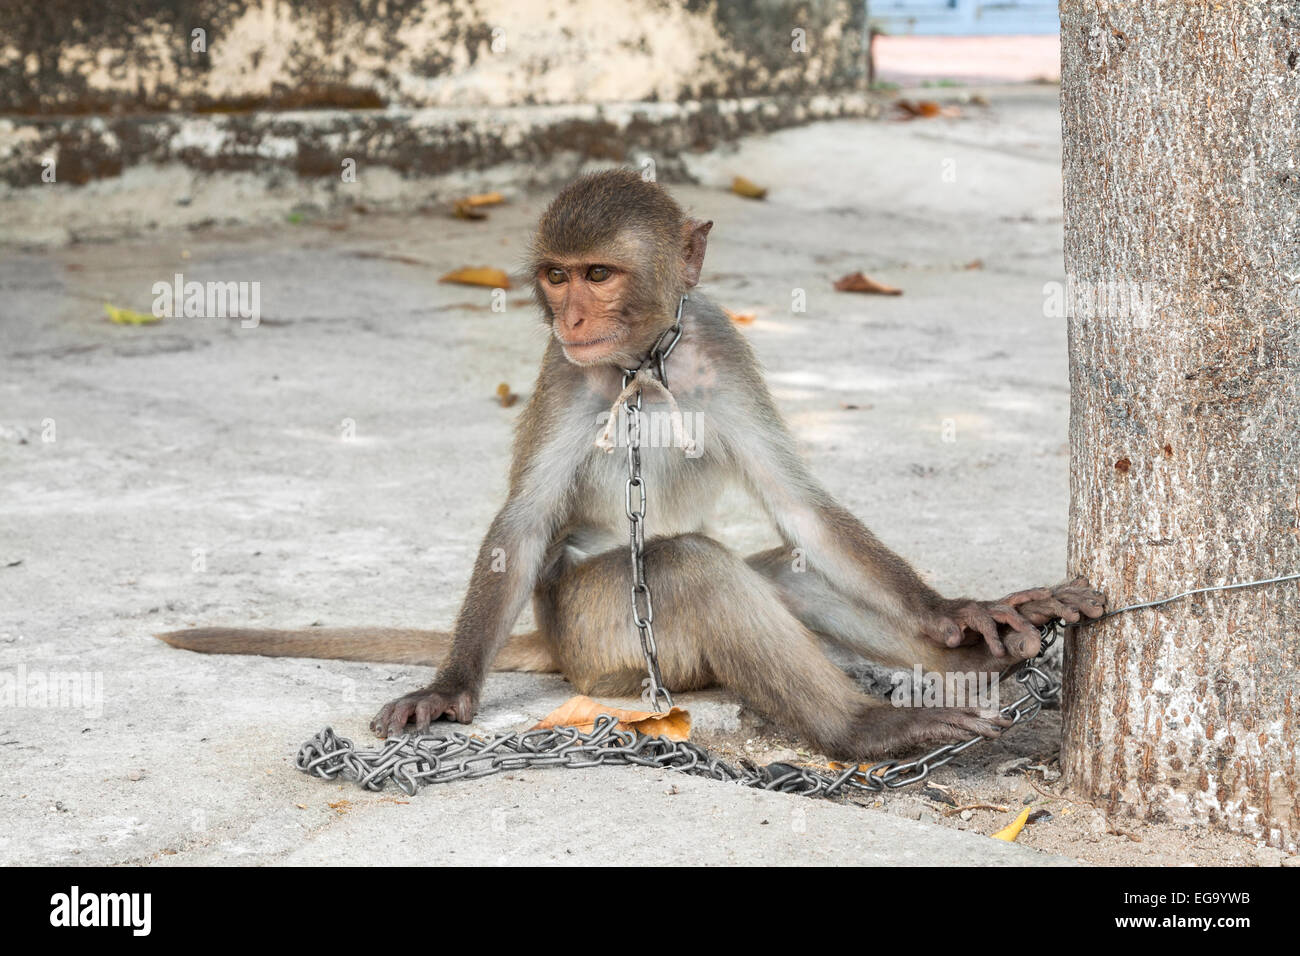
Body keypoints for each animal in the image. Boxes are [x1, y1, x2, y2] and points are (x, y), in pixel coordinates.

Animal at [160, 168, 1105, 760]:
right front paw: (452, 687)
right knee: (690, 569)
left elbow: (801, 509)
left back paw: (985, 659)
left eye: (599, 274)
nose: (573, 318)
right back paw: (863, 730)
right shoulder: (564, 375)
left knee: (786, 573)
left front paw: (956, 614)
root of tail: (555, 642)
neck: (645, 362)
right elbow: (524, 523)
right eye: (556, 276)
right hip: (602, 640)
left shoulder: (720, 345)